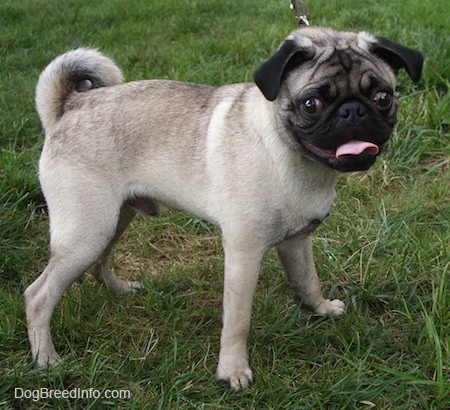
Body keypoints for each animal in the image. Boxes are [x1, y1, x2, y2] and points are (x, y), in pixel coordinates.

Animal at [26, 26, 424, 390]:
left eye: (383, 96)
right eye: (312, 104)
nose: (353, 111)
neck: (293, 157)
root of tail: (67, 107)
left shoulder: (297, 241)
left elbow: (307, 281)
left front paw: (321, 310)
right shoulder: (243, 254)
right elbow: (237, 320)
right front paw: (232, 371)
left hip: (112, 219)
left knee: (98, 264)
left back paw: (119, 289)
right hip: (87, 230)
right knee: (38, 296)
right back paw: (47, 359)